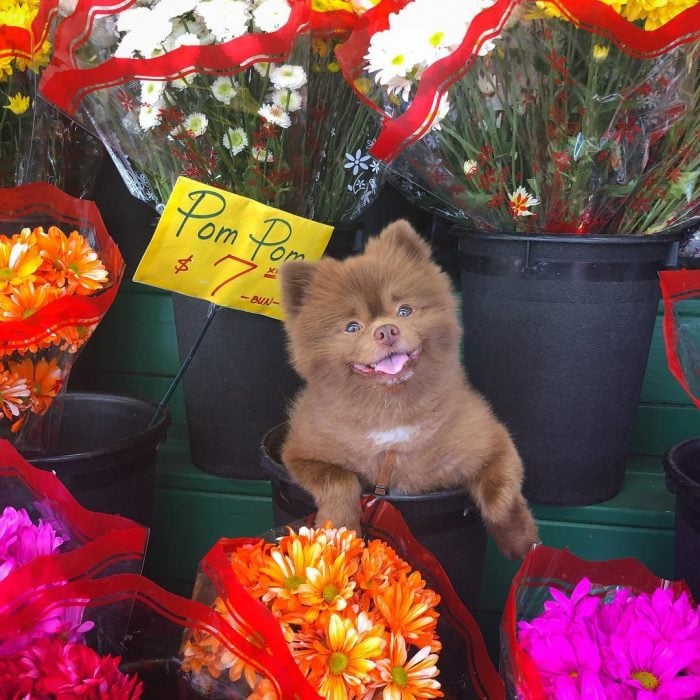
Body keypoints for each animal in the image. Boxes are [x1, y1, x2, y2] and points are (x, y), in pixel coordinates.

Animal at [278, 219, 536, 556]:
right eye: (352, 327)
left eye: (404, 311)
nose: (387, 330)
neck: (392, 414)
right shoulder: (299, 453)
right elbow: (338, 479)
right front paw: (340, 527)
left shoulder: (491, 442)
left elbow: (500, 497)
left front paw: (522, 542)